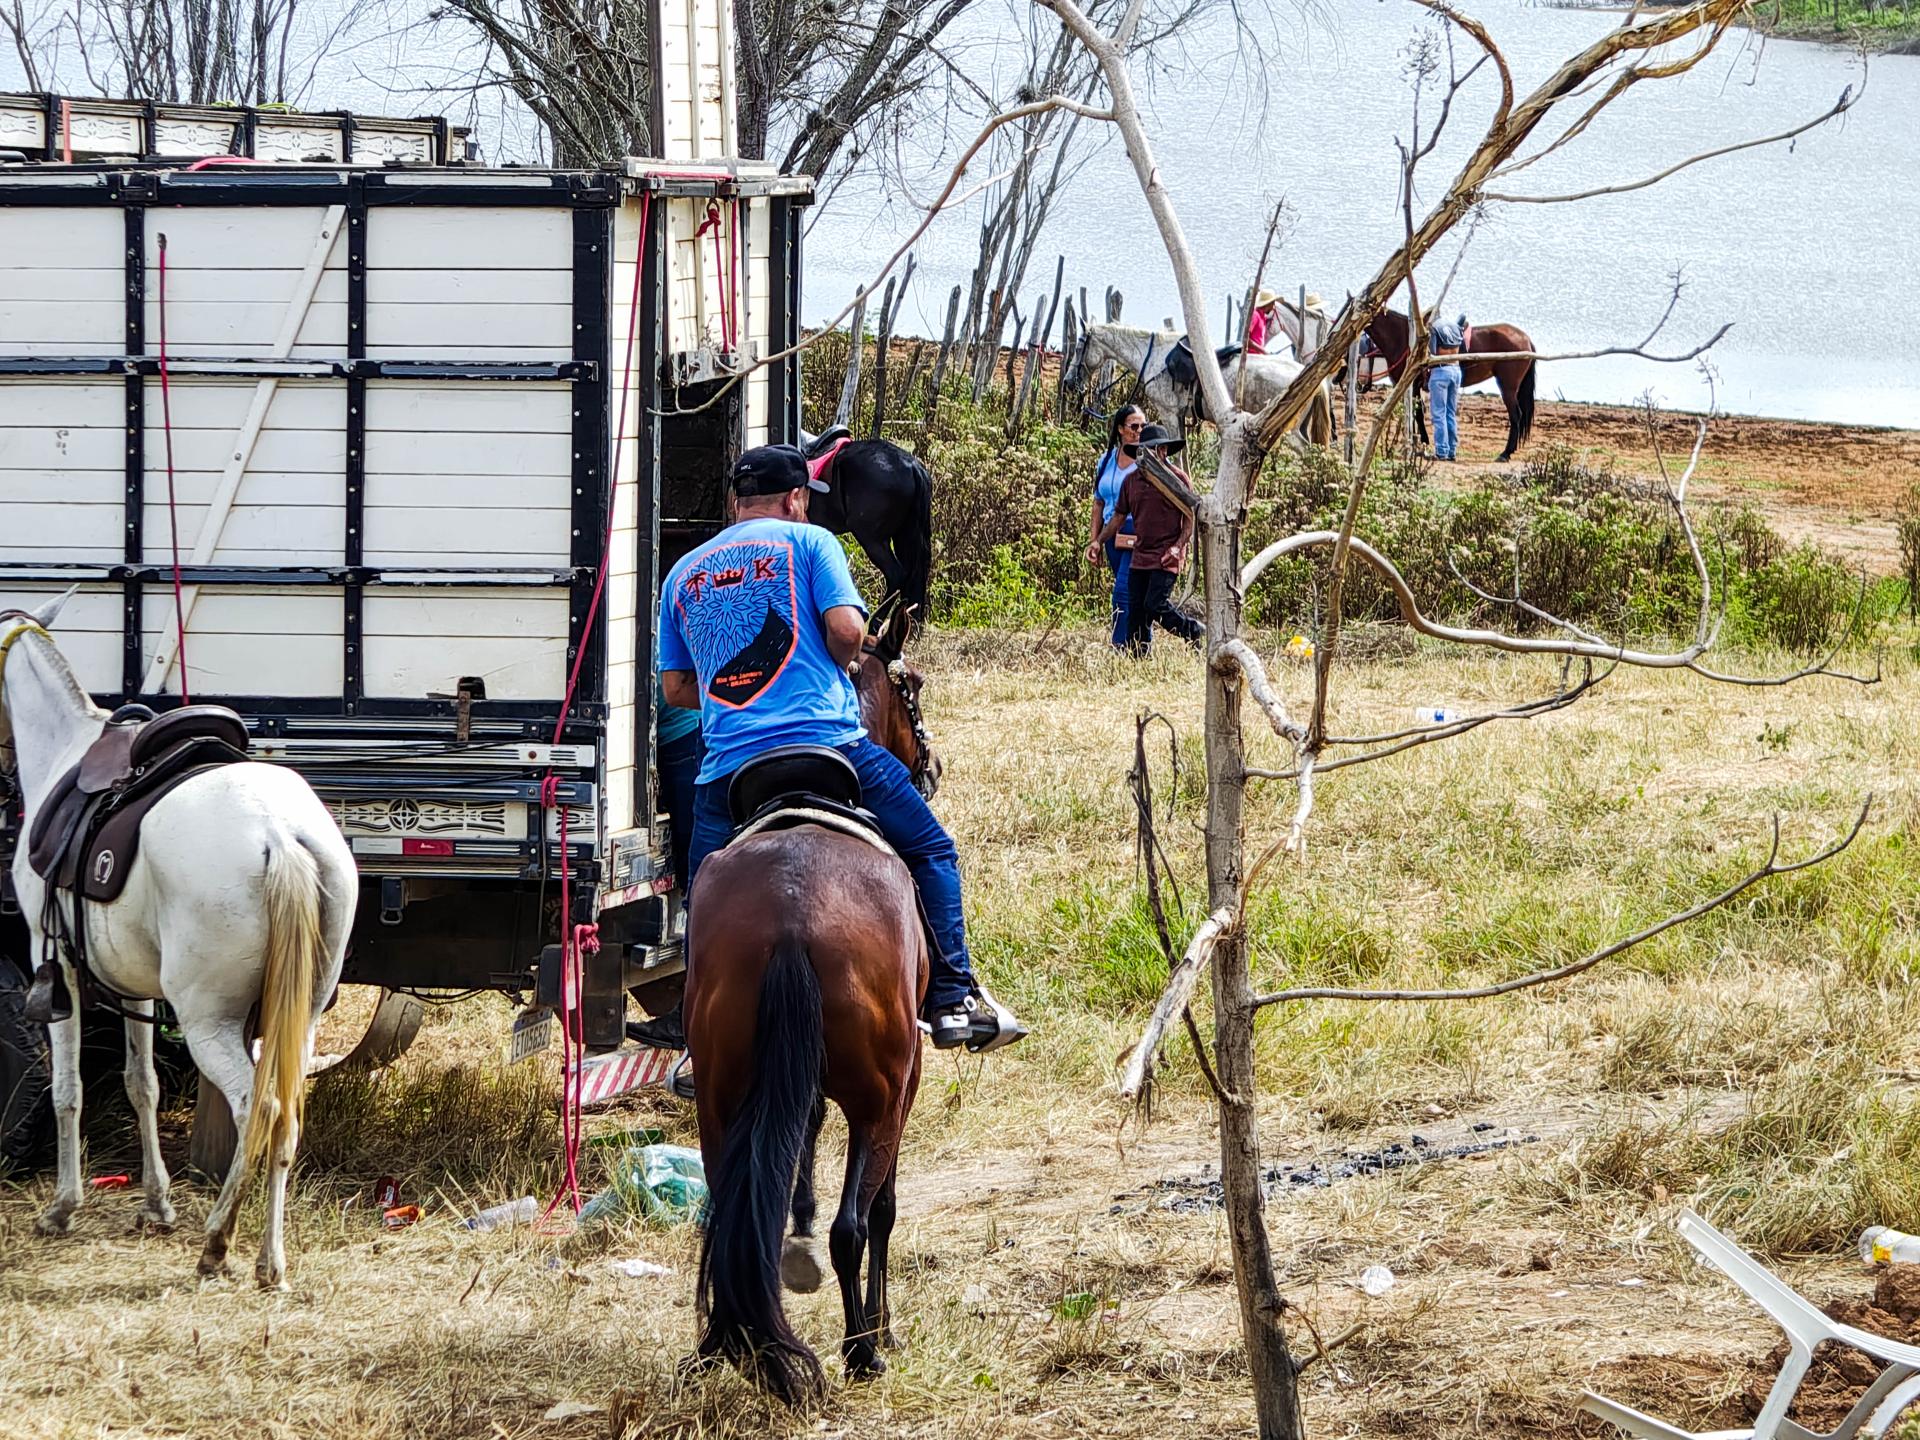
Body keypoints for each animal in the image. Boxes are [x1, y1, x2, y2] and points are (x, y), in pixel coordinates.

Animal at [0, 594, 355, 1289]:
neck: (63, 748)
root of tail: (281, 835)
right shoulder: (131, 982)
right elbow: (142, 1084)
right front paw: (157, 1204)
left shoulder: (55, 966)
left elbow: (66, 1090)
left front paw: (62, 1208)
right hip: (299, 1015)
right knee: (287, 1117)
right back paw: (271, 1263)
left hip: (208, 1020)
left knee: (257, 1109)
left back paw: (218, 1242)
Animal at [688, 600, 934, 1400]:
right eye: (912, 687)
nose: (930, 768)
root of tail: (792, 909)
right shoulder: (903, 1086)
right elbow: (881, 1209)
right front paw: (881, 1330)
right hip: (878, 1093)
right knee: (855, 1224)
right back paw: (862, 1350)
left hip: (719, 1095)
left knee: (730, 1216)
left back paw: (724, 1344)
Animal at [1065, 323, 1335, 446]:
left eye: (1079, 347)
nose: (1068, 382)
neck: (1152, 357)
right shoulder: (1179, 417)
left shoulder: (1168, 413)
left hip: (1289, 432)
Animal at [1359, 308, 1538, 462]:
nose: (1360, 385)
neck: (1403, 337)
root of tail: (1526, 339)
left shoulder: (1413, 385)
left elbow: (1417, 414)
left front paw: (1421, 444)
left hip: (1508, 388)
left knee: (1516, 416)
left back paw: (1506, 453)